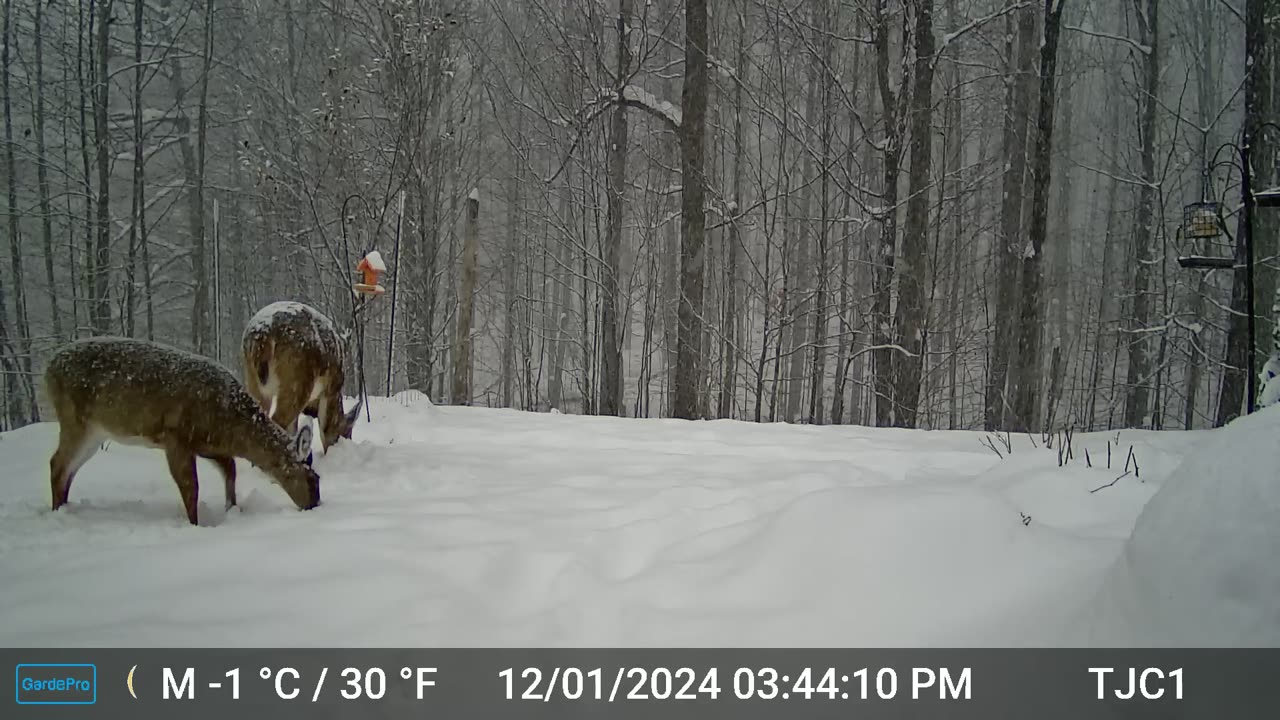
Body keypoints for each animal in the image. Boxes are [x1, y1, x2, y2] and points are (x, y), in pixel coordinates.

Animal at [42, 333, 322, 525]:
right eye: (312, 479)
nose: (315, 504)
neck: (229, 424)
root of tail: (48, 366)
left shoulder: (208, 445)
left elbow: (230, 470)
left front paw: (232, 509)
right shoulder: (176, 437)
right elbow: (191, 488)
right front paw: (195, 524)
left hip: (95, 432)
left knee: (68, 468)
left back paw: (65, 507)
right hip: (75, 420)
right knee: (57, 463)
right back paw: (57, 510)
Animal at [240, 298, 363, 458]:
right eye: (347, 433)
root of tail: (262, 334)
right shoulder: (331, 390)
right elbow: (325, 426)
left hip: (254, 382)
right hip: (297, 381)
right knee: (277, 421)